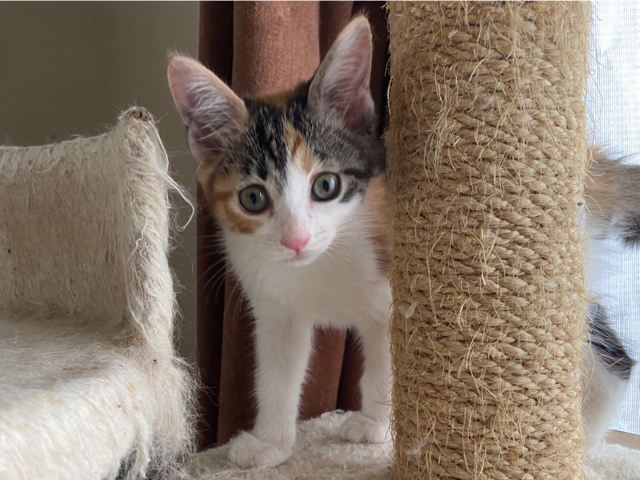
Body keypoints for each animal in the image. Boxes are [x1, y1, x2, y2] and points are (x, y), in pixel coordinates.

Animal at [168, 16, 634, 468]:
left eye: (326, 186)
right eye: (252, 198)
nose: (296, 239)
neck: (320, 264)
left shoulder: (394, 297)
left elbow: (385, 365)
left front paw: (375, 425)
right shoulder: (277, 307)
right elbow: (277, 374)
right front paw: (271, 444)